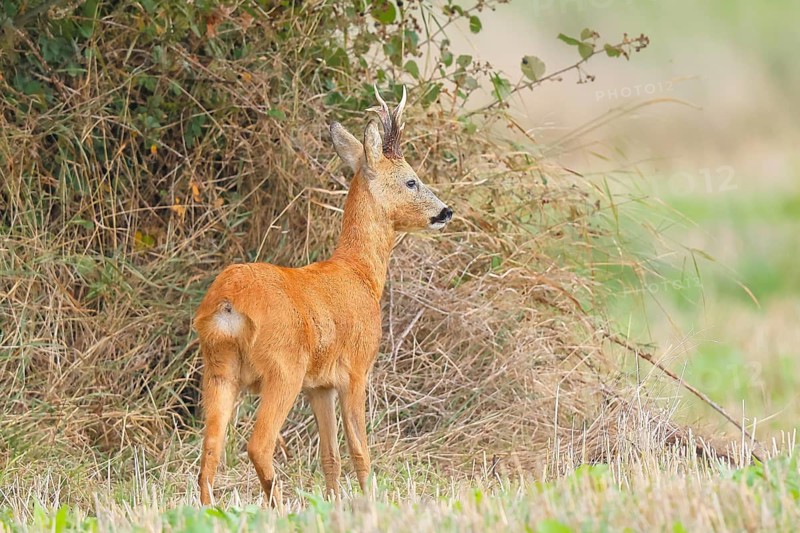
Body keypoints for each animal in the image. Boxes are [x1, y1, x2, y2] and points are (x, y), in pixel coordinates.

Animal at [194, 85, 453, 506]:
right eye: (412, 180)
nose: (446, 211)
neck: (360, 274)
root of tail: (228, 304)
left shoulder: (320, 385)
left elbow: (329, 454)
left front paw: (333, 503)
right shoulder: (357, 368)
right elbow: (360, 451)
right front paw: (370, 502)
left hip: (218, 368)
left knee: (210, 450)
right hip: (283, 367)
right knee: (258, 445)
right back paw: (277, 506)